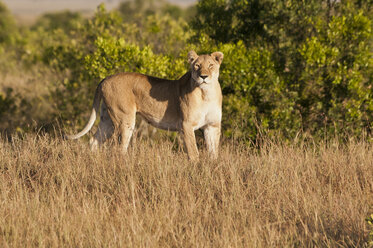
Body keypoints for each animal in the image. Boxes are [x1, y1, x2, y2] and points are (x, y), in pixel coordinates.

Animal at [65, 50, 222, 161]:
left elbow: (214, 152)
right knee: (118, 149)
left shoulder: (212, 126)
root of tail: (105, 78)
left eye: (211, 66)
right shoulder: (186, 125)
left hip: (107, 119)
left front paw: (212, 168)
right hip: (124, 119)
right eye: (197, 66)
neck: (206, 93)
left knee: (94, 141)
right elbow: (194, 152)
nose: (203, 76)